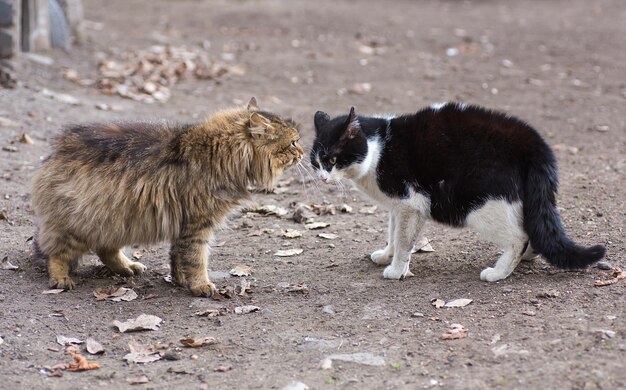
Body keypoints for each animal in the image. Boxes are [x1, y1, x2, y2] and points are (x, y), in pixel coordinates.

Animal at [33, 98, 304, 298]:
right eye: (293, 143)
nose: (302, 153)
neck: (220, 153)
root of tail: (59, 146)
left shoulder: (182, 221)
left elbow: (178, 255)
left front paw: (180, 280)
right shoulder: (198, 222)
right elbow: (197, 258)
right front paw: (201, 286)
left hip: (113, 220)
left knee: (105, 249)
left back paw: (128, 267)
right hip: (82, 221)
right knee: (56, 252)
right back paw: (61, 279)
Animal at [312, 103, 604, 280]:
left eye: (333, 159)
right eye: (316, 161)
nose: (323, 177)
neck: (378, 150)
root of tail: (534, 143)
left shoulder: (410, 203)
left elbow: (404, 240)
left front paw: (396, 270)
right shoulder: (399, 207)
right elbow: (393, 234)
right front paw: (386, 256)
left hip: (480, 207)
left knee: (518, 237)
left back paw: (498, 273)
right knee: (533, 228)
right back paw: (529, 256)